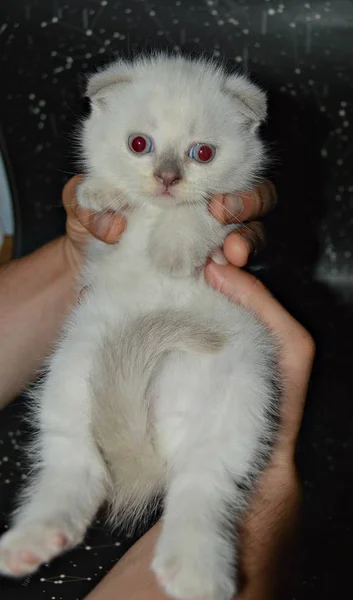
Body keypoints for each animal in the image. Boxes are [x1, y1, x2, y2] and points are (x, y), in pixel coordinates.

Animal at [0, 56, 278, 600]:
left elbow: (206, 213)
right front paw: (102, 191)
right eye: (138, 144)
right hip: (75, 362)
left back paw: (195, 571)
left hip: (244, 389)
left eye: (202, 152)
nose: (167, 178)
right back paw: (34, 539)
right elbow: (104, 193)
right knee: (75, 465)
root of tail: (161, 437)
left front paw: (173, 250)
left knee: (203, 487)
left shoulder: (235, 221)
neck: (155, 215)